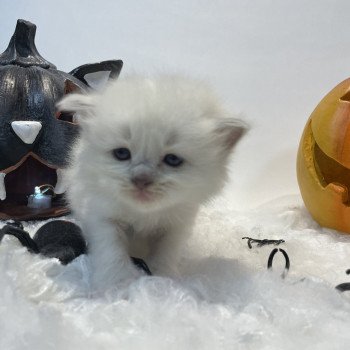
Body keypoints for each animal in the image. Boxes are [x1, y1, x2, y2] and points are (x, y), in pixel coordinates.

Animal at [57, 75, 247, 292]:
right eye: (121, 153)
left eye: (172, 159)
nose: (141, 179)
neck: (143, 214)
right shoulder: (102, 217)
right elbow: (112, 252)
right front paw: (115, 286)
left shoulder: (176, 225)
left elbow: (166, 253)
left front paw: (163, 283)